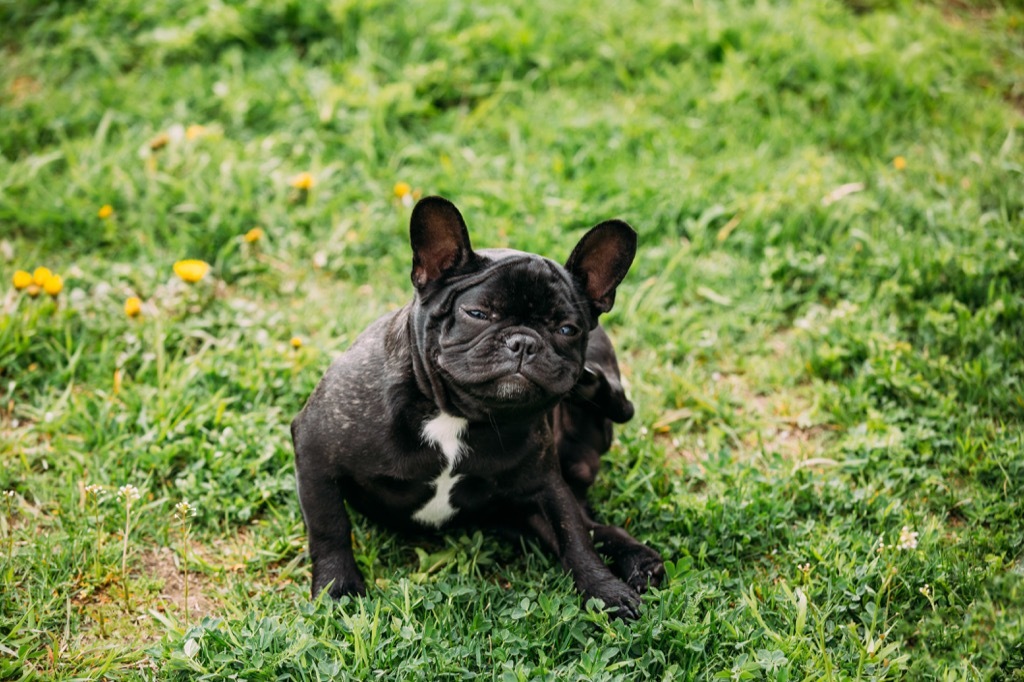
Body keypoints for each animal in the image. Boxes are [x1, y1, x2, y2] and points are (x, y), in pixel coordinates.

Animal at [292, 195, 667, 614]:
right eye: (477, 313)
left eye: (567, 329)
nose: (524, 342)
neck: (458, 413)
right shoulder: (316, 451)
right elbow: (329, 526)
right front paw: (337, 587)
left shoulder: (544, 484)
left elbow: (574, 536)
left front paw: (605, 591)